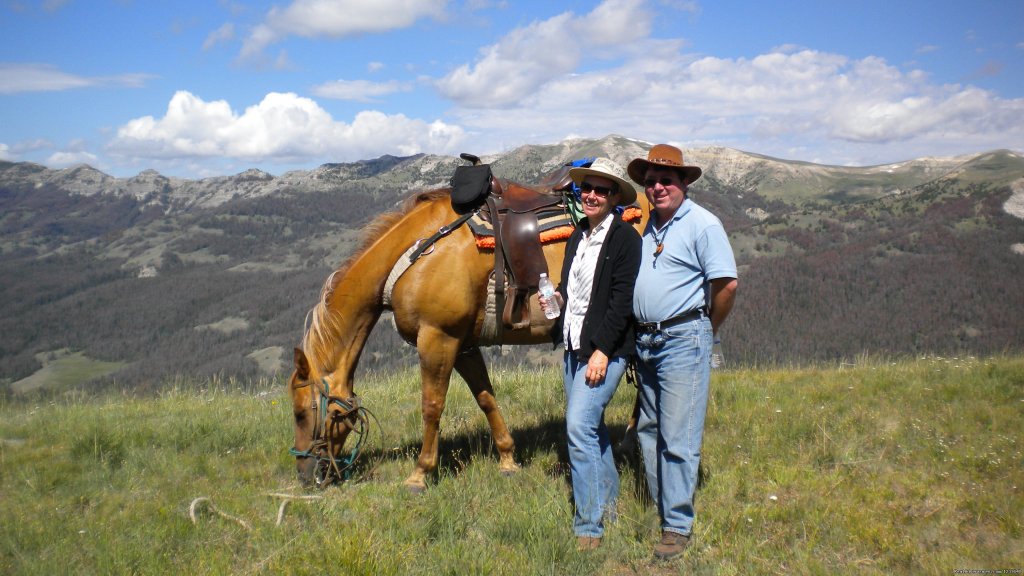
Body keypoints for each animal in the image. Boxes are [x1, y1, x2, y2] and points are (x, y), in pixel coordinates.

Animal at [288, 179, 651, 487]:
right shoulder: (462, 345)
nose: (306, 475)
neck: (416, 253)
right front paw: (507, 458)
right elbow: (485, 398)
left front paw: (420, 473)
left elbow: (432, 405)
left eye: (300, 413)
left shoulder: (437, 339)